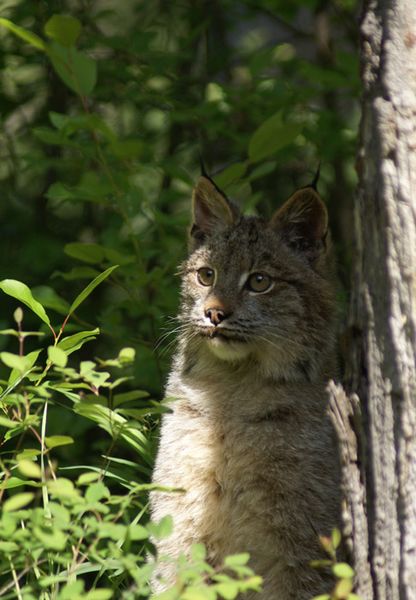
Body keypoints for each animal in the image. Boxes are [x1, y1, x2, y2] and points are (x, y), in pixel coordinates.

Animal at [151, 176, 340, 596]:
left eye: (259, 282)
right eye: (206, 276)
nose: (214, 313)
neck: (230, 390)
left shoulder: (299, 545)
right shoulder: (180, 522)